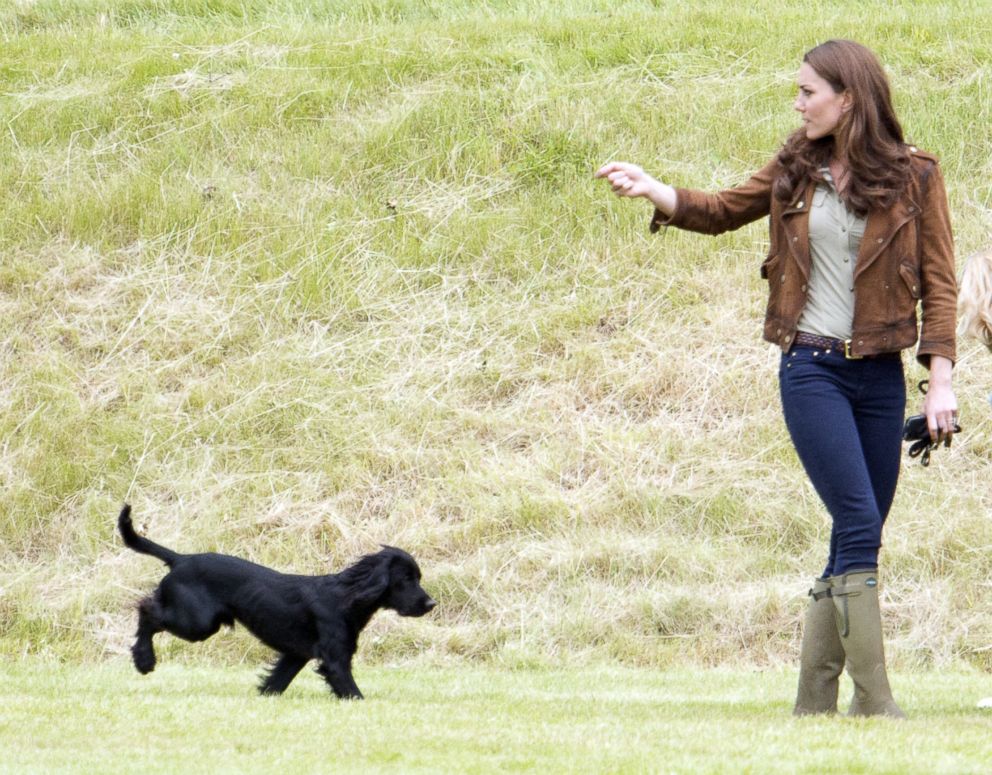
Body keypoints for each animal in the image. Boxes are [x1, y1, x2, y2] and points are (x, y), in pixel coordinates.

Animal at [118, 506, 436, 700]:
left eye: (417, 577)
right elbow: (352, 691)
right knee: (146, 610)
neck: (348, 596)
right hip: (198, 623)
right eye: (406, 579)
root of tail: (181, 558)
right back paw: (144, 660)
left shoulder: (296, 654)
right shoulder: (335, 658)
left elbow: (276, 682)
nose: (431, 603)